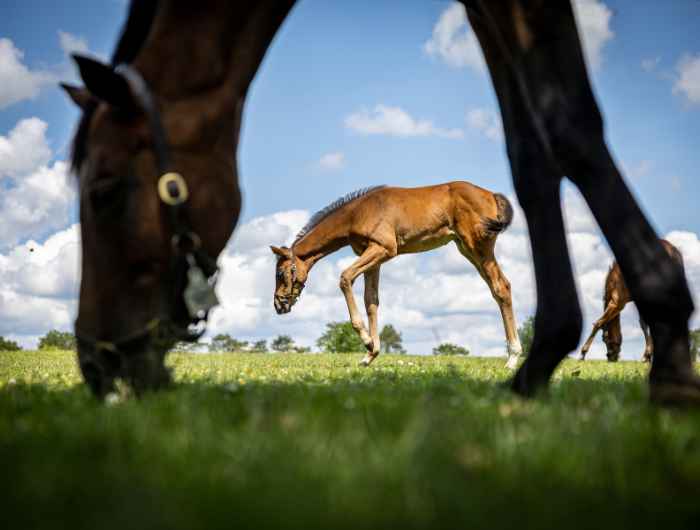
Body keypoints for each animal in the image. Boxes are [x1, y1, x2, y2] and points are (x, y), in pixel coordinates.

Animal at [270, 182, 524, 368]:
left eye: (281, 272)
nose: (279, 304)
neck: (357, 213)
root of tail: (491, 195)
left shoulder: (383, 249)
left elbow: (345, 278)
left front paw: (366, 340)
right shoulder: (373, 258)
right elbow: (371, 301)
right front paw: (370, 353)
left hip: (477, 247)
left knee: (501, 287)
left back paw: (512, 358)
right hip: (467, 249)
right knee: (499, 289)